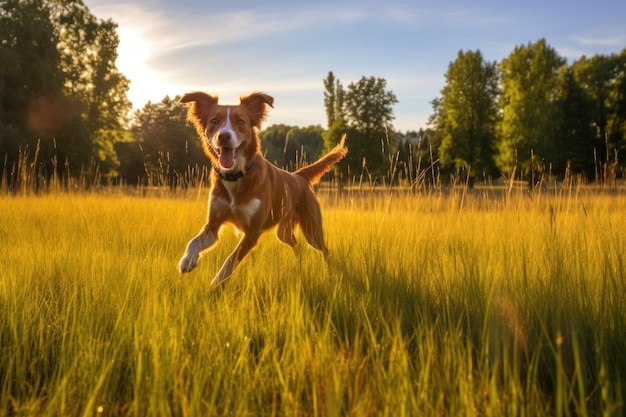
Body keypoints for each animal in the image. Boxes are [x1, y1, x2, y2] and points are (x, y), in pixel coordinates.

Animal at [176, 91, 346, 284]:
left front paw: (215, 285)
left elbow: (230, 260)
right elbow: (194, 242)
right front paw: (187, 261)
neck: (237, 176)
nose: (223, 136)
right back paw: (300, 264)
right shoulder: (213, 223)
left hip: (312, 228)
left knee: (324, 249)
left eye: (240, 121)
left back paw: (328, 272)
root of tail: (298, 176)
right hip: (283, 231)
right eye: (214, 121)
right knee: (296, 244)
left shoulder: (253, 232)